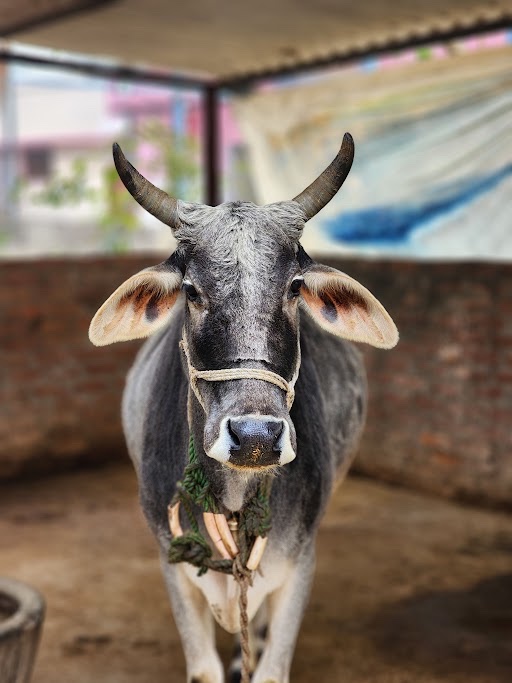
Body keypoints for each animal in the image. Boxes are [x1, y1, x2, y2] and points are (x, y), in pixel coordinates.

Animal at [89, 133, 398, 683]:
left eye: (294, 287)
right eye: (191, 291)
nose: (256, 436)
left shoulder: (299, 564)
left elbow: (271, 666)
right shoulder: (173, 568)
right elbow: (204, 669)